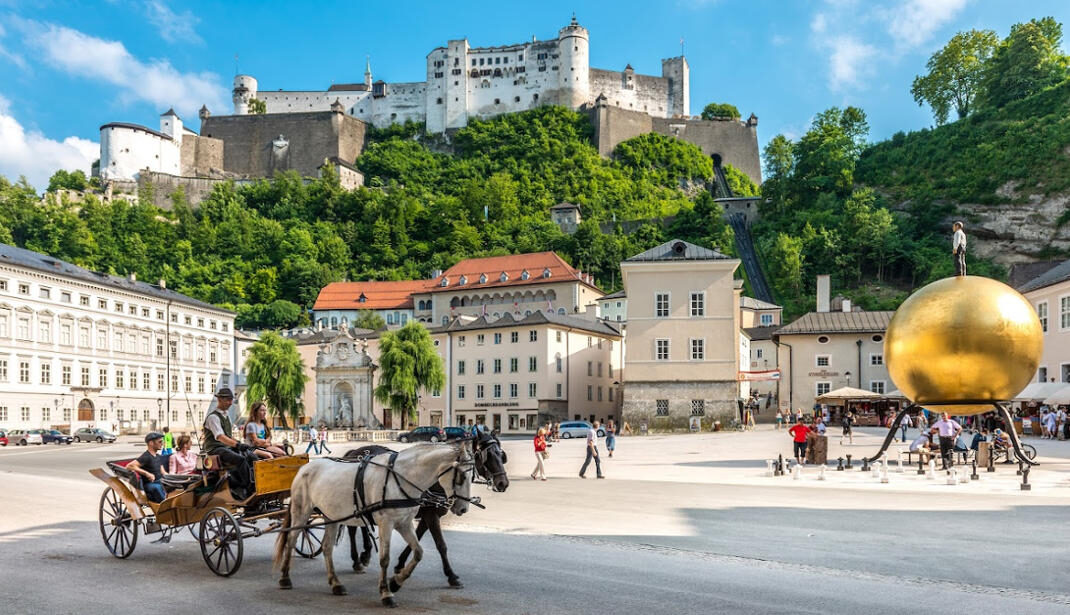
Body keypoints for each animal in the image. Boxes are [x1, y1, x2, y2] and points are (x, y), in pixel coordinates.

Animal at [273, 442, 475, 607]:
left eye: (472, 476)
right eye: (461, 477)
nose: (463, 508)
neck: (402, 477)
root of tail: (305, 467)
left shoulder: (404, 523)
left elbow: (418, 552)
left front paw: (396, 582)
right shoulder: (387, 523)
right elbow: (385, 558)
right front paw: (386, 592)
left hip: (331, 515)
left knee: (327, 547)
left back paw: (336, 583)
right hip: (301, 511)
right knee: (291, 540)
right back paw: (285, 577)